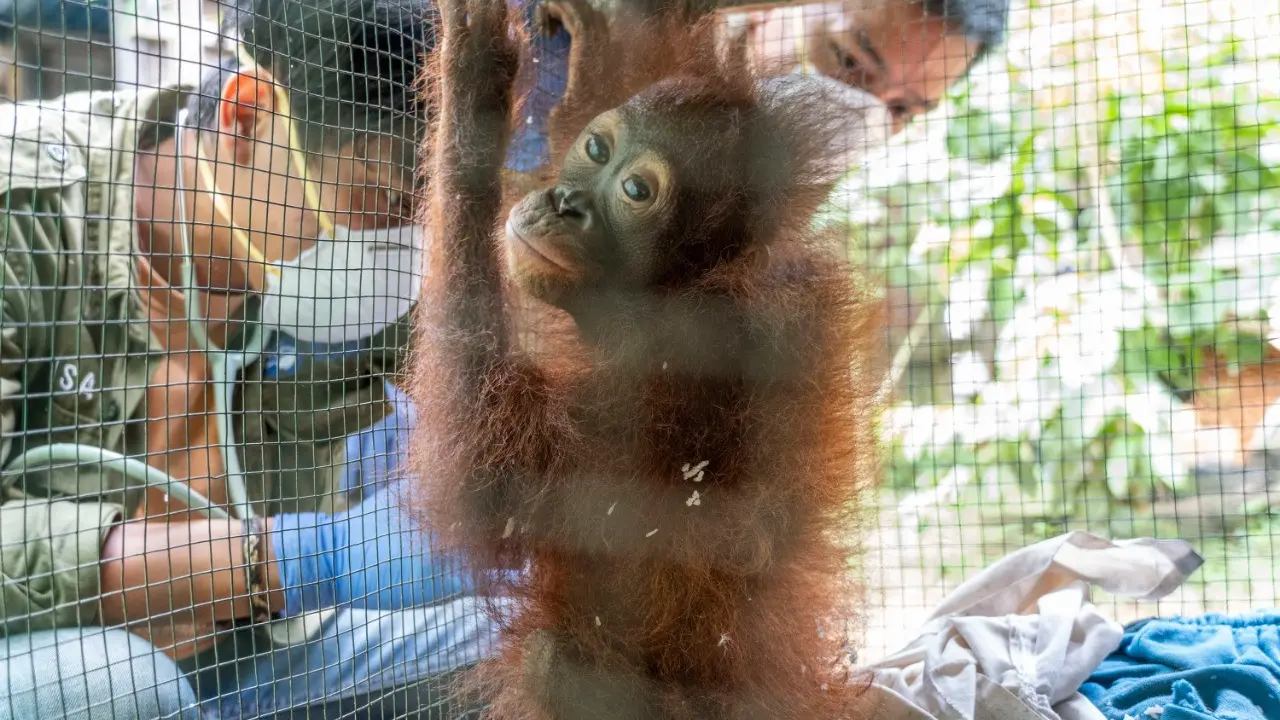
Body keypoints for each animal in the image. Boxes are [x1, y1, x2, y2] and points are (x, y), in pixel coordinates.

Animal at [412, 0, 888, 717]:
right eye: (596, 149)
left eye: (636, 190)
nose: (565, 203)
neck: (690, 280)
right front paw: (593, 41)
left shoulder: (674, 364)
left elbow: (493, 484)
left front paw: (477, 88)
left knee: (548, 660)